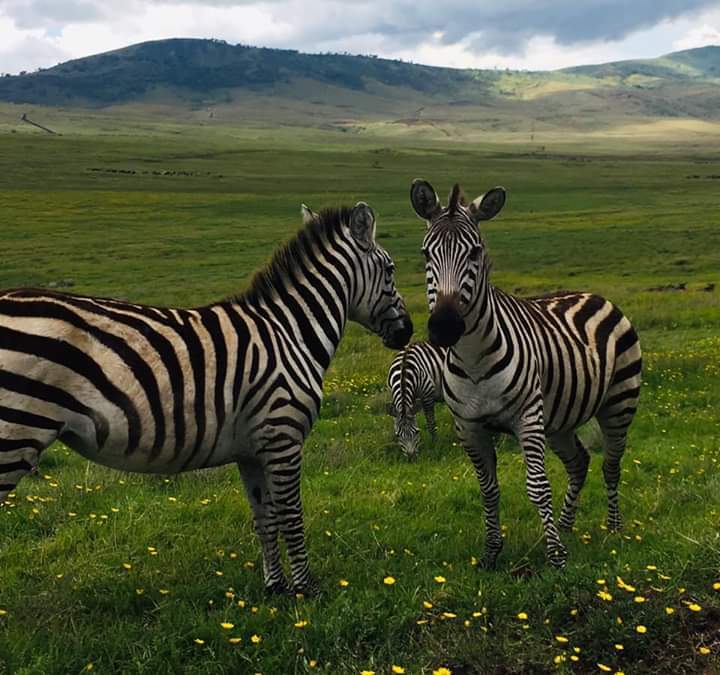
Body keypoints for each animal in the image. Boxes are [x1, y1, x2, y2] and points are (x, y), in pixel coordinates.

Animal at [0, 201, 413, 594]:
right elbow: (292, 515)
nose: (407, 332)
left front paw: (276, 588)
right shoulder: (283, 435)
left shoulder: (252, 449)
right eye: (391, 269)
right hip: (15, 436)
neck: (290, 332)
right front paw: (306, 590)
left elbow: (265, 519)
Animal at [411, 179, 641, 568]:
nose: (444, 328)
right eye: (427, 254)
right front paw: (492, 553)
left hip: (619, 402)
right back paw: (565, 525)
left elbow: (537, 487)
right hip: (559, 420)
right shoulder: (469, 426)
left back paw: (613, 528)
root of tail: (596, 295)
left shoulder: (527, 418)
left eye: (476, 253)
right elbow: (488, 490)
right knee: (579, 462)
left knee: (611, 465)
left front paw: (557, 558)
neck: (473, 359)